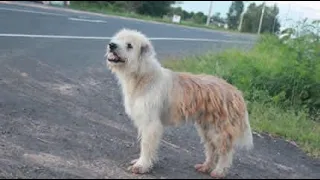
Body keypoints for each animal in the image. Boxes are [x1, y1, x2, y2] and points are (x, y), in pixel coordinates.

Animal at [105, 28, 252, 178]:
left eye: (129, 45)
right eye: (117, 39)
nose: (111, 45)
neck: (143, 75)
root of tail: (236, 92)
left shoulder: (151, 124)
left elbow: (146, 145)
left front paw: (142, 165)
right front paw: (142, 162)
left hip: (219, 130)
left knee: (225, 152)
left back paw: (219, 171)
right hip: (206, 129)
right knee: (211, 149)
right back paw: (206, 166)